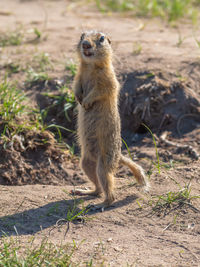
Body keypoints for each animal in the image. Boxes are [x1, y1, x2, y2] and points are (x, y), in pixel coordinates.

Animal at [72, 30, 149, 208]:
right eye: (81, 36)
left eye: (101, 38)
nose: (85, 44)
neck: (90, 67)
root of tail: (118, 156)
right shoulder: (78, 76)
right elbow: (76, 86)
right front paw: (78, 97)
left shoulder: (108, 80)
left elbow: (102, 90)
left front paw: (86, 102)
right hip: (85, 163)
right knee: (98, 188)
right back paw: (85, 191)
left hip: (103, 163)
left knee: (109, 191)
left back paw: (101, 204)